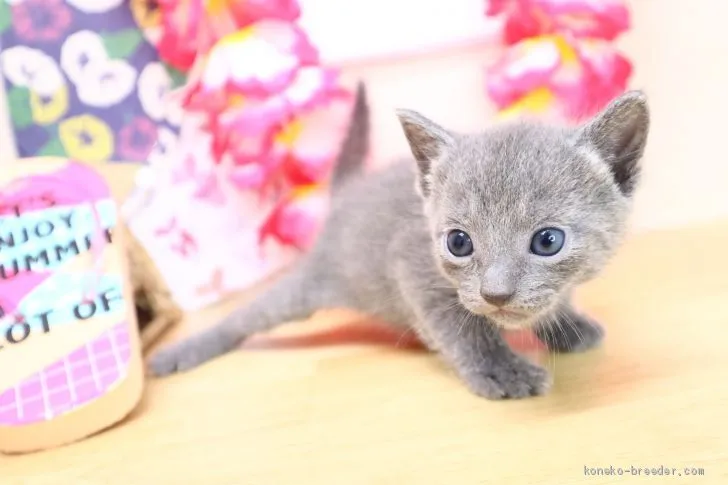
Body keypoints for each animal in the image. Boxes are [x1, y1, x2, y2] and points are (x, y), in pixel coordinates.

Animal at [148, 83, 648, 398]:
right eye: (459, 243)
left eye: (547, 241)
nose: (495, 293)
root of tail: (349, 193)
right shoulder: (415, 272)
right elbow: (463, 328)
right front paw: (501, 368)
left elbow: (549, 302)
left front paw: (566, 324)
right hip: (314, 283)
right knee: (248, 316)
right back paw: (182, 352)